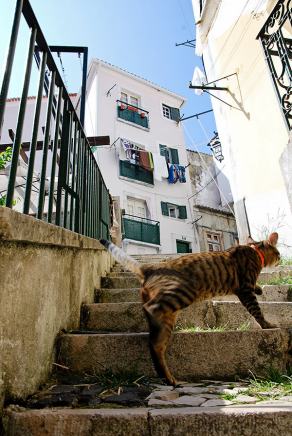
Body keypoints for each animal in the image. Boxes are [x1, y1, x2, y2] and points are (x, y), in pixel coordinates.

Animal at [100, 233, 280, 386]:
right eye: (278, 253)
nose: (280, 258)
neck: (254, 249)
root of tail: (150, 268)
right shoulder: (245, 289)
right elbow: (257, 311)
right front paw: (267, 325)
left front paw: (260, 289)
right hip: (183, 294)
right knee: (150, 309)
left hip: (169, 318)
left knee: (155, 342)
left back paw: (166, 377)